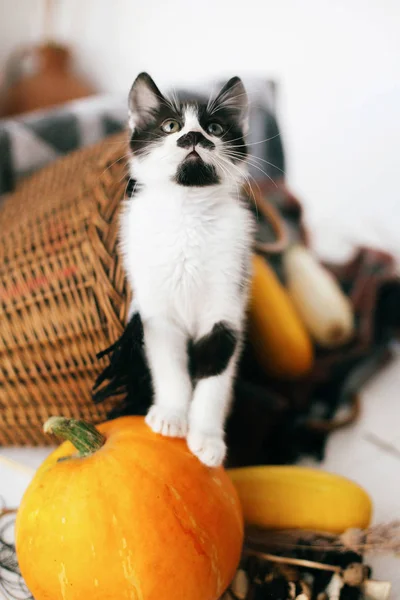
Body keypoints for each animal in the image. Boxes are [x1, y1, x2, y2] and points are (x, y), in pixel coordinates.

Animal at [120, 72, 255, 466]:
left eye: (214, 128)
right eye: (171, 126)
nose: (193, 137)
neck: (188, 213)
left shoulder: (226, 307)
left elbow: (216, 377)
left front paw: (207, 438)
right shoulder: (156, 313)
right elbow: (169, 366)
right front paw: (171, 415)